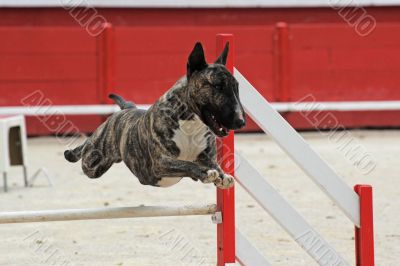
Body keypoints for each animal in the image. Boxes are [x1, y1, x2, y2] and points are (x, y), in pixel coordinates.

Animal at [64, 42, 245, 189]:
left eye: (236, 87)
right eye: (218, 86)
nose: (241, 122)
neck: (191, 122)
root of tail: (126, 109)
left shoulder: (206, 157)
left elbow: (214, 165)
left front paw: (223, 176)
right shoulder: (161, 162)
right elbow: (187, 165)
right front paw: (206, 173)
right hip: (93, 162)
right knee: (86, 148)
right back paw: (72, 152)